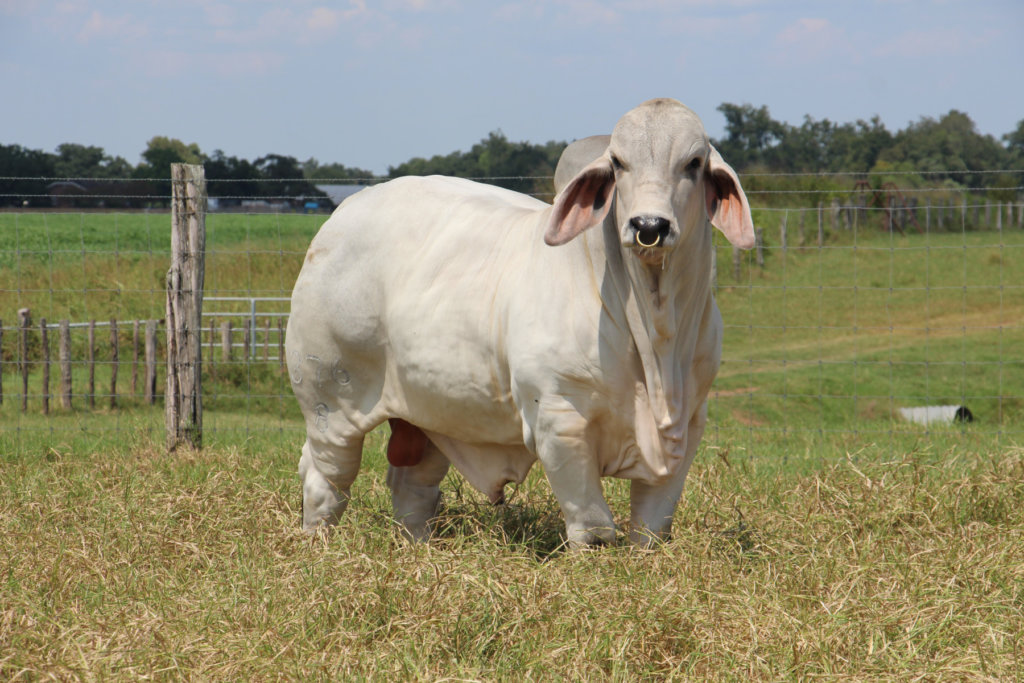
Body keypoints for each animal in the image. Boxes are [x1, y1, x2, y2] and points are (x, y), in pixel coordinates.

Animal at [286, 98, 754, 548]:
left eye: (693, 162)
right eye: (619, 163)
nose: (649, 225)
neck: (657, 341)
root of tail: (343, 212)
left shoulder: (689, 424)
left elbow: (652, 528)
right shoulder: (559, 419)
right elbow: (593, 528)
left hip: (433, 411)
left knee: (411, 486)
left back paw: (418, 549)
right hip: (329, 401)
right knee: (326, 480)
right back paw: (318, 547)